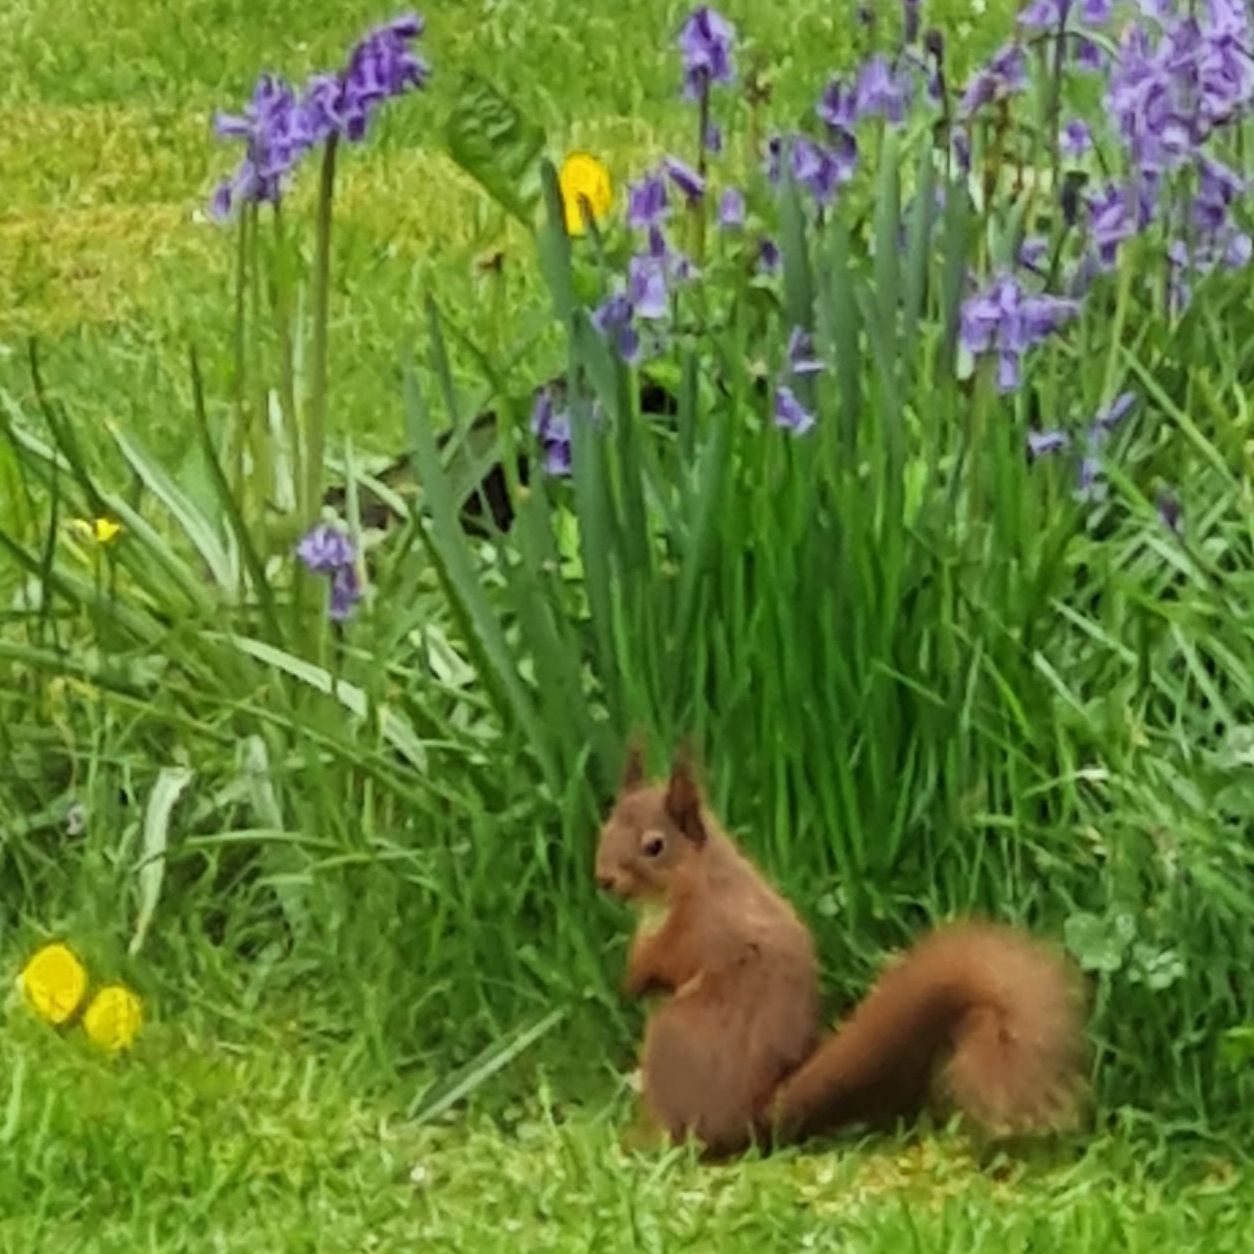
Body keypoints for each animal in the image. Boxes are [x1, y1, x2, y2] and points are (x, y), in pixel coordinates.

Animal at [595, 744, 1087, 1159]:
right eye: (606, 827)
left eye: (654, 845)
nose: (603, 879)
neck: (689, 883)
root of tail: (752, 1120)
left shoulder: (700, 929)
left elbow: (667, 960)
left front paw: (632, 981)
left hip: (669, 1037)